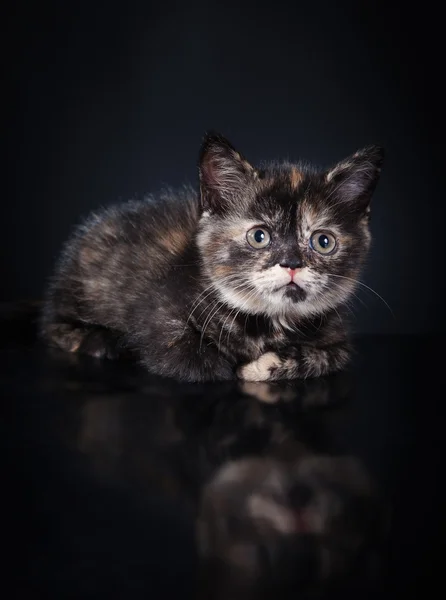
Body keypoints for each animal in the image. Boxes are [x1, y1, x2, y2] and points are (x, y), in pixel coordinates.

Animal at [41, 133, 384, 382]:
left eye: (323, 242)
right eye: (259, 236)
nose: (292, 264)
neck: (269, 321)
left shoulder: (338, 338)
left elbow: (329, 356)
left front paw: (258, 367)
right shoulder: (156, 313)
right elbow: (196, 361)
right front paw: (232, 367)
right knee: (50, 326)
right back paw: (101, 341)